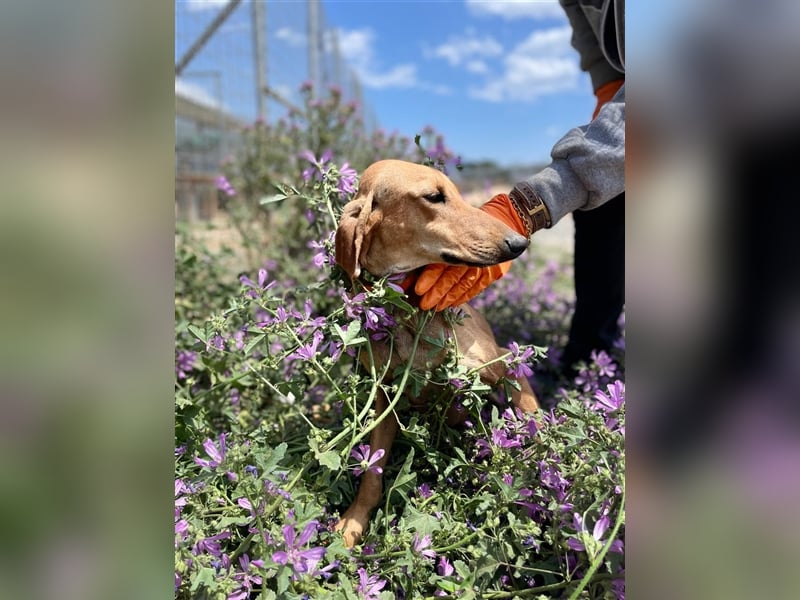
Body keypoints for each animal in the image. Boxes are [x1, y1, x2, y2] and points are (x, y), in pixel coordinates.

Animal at [332, 161, 536, 548]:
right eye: (433, 196)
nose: (519, 243)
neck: (411, 314)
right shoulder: (386, 399)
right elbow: (372, 474)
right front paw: (353, 522)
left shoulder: (502, 362)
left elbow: (534, 416)